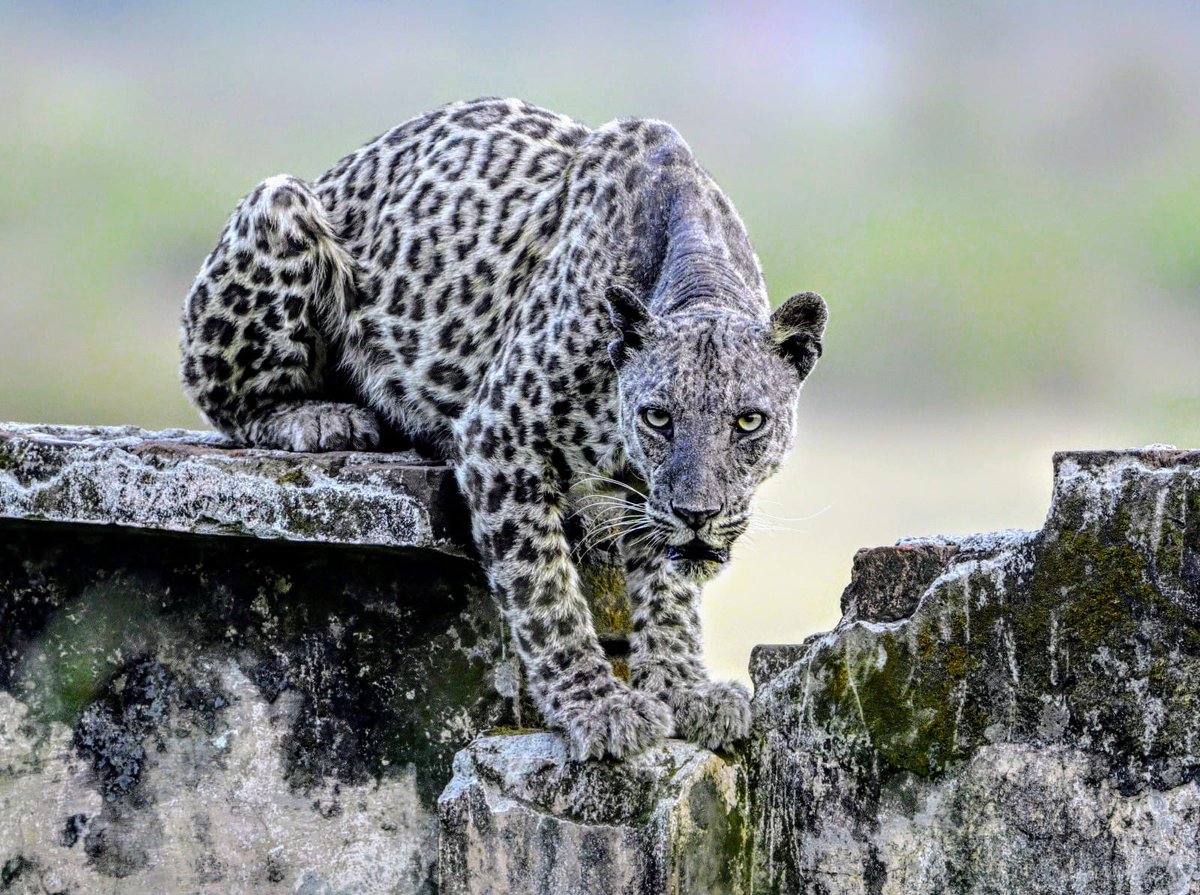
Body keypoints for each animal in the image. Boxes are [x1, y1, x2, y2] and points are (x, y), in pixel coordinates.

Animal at [180, 97, 827, 760]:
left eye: (748, 422)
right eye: (658, 418)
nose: (698, 513)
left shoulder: (646, 497)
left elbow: (668, 583)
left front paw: (682, 688)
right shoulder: (501, 436)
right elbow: (543, 586)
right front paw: (598, 705)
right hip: (280, 206)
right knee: (222, 393)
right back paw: (326, 418)